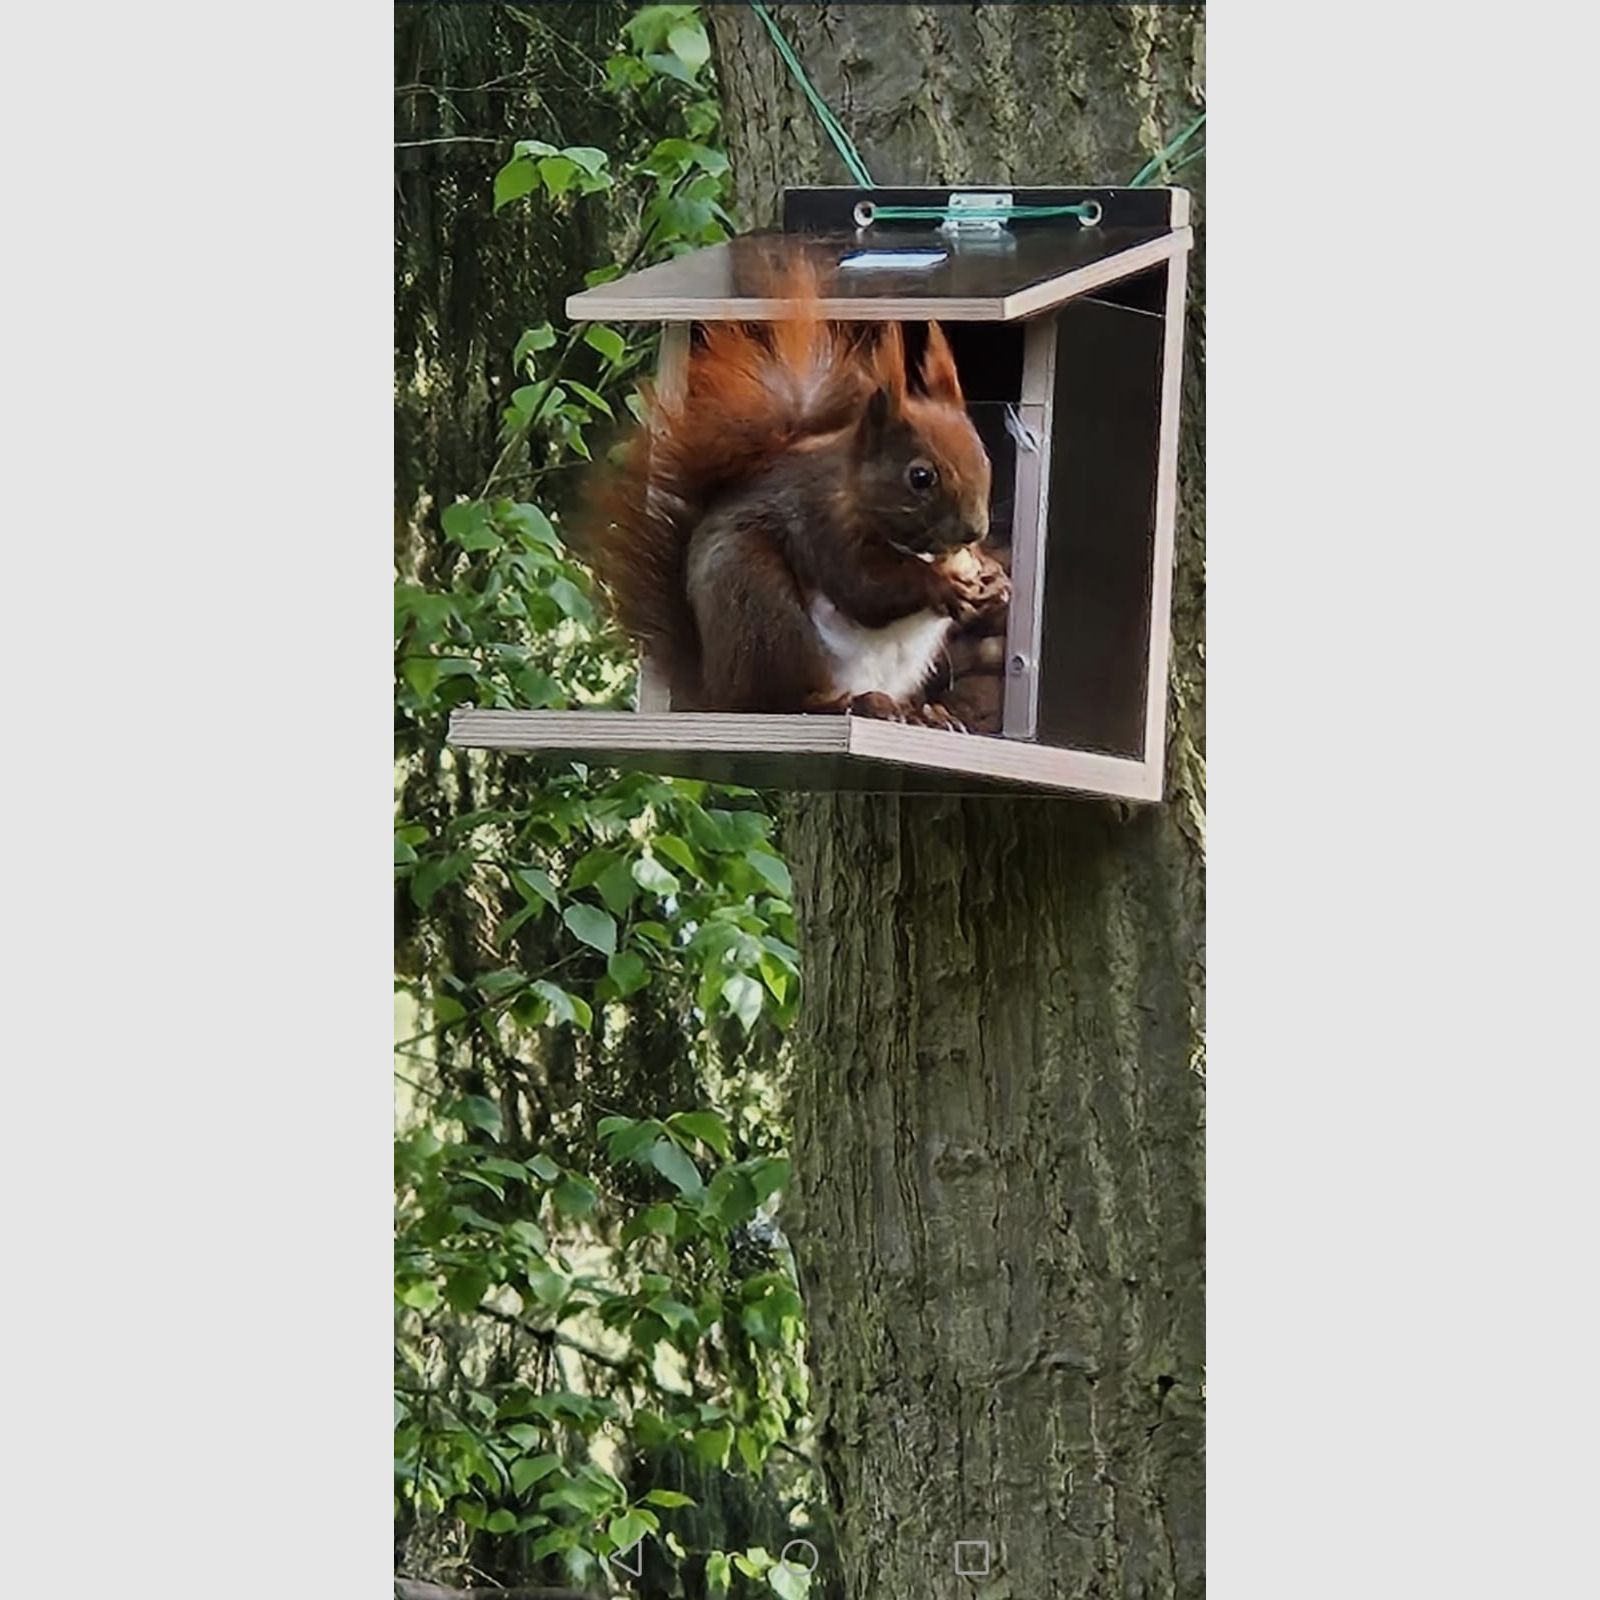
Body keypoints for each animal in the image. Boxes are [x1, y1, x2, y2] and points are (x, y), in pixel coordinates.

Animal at [584, 262, 1010, 726]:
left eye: (985, 456)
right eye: (920, 476)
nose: (974, 531)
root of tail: (716, 691)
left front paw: (995, 579)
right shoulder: (824, 522)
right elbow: (865, 589)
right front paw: (941, 585)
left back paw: (921, 713)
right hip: (762, 608)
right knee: (785, 699)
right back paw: (852, 703)